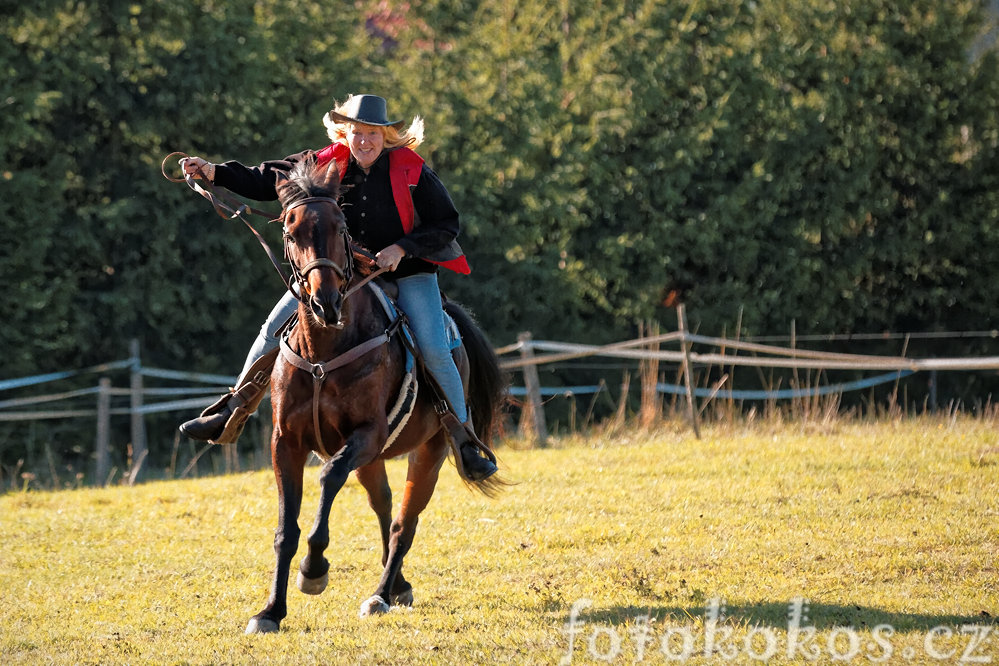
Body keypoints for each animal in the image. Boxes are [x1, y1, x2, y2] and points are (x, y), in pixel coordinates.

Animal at [243, 158, 508, 632]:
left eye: (340, 226)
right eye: (291, 231)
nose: (325, 302)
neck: (325, 352)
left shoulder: (366, 434)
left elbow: (330, 478)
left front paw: (314, 570)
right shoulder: (285, 443)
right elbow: (285, 530)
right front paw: (270, 611)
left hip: (431, 449)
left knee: (405, 521)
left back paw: (382, 594)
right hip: (374, 459)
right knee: (384, 506)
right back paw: (397, 584)